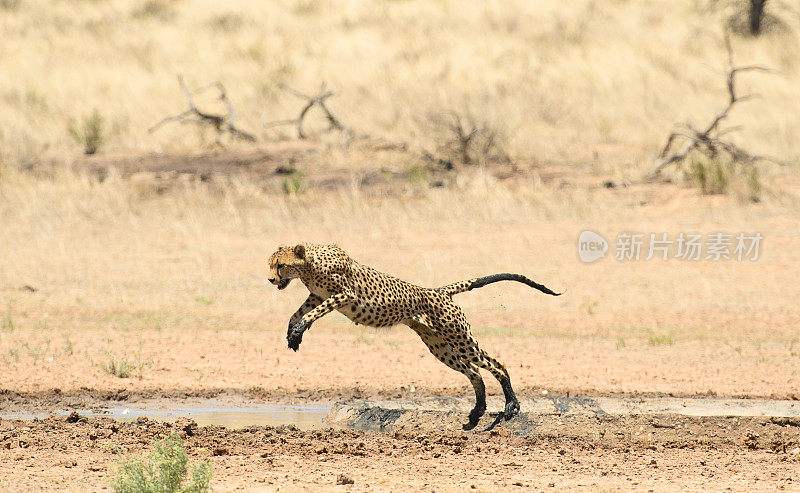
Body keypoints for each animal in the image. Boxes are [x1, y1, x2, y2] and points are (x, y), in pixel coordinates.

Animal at [266, 244, 560, 428]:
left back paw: (511, 404)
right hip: (439, 346)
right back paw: (478, 411)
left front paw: (299, 330)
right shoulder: (316, 296)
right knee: (475, 372)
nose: (270, 280)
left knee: (496, 365)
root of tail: (437, 290)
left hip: (459, 338)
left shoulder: (343, 295)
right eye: (271, 265)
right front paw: (293, 334)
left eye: (280, 265)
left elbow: (311, 314)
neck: (308, 265)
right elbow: (296, 313)